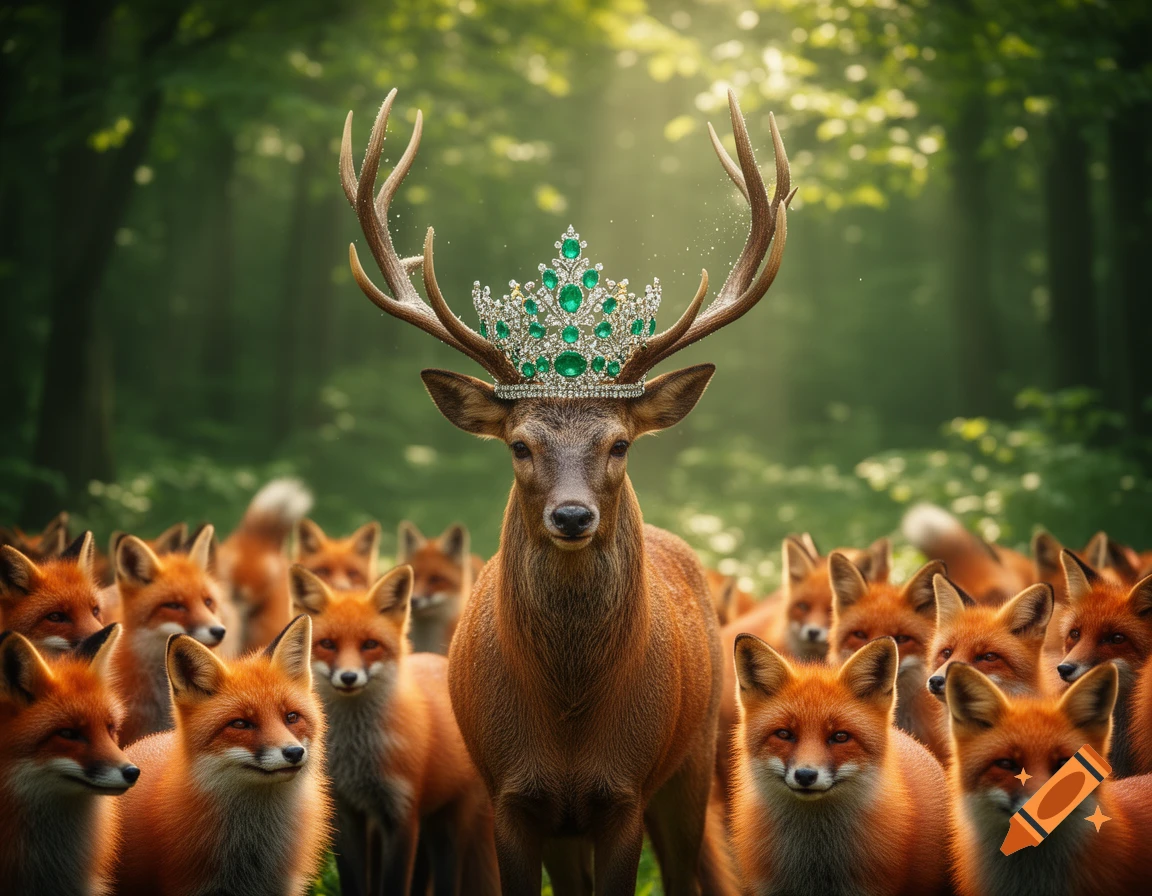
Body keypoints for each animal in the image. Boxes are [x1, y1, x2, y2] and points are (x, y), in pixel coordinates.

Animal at [290, 563, 497, 896]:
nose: (349, 677)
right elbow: (355, 884)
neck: (357, 759)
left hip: (448, 827)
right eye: (328, 644)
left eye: (370, 645)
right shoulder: (347, 814)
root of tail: (441, 659)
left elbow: (394, 884)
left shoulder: (401, 815)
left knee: (446, 879)